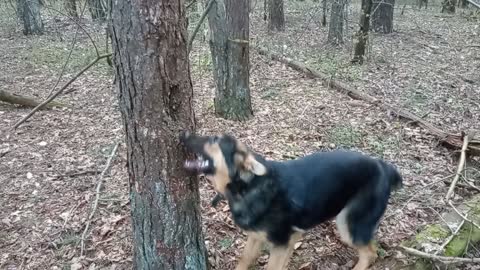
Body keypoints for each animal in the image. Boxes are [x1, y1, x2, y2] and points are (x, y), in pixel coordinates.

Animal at [179, 131, 402, 270]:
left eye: (214, 139)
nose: (182, 133)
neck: (249, 186)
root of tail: (384, 167)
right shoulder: (264, 238)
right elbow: (244, 260)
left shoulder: (280, 243)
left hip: (348, 225)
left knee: (370, 253)